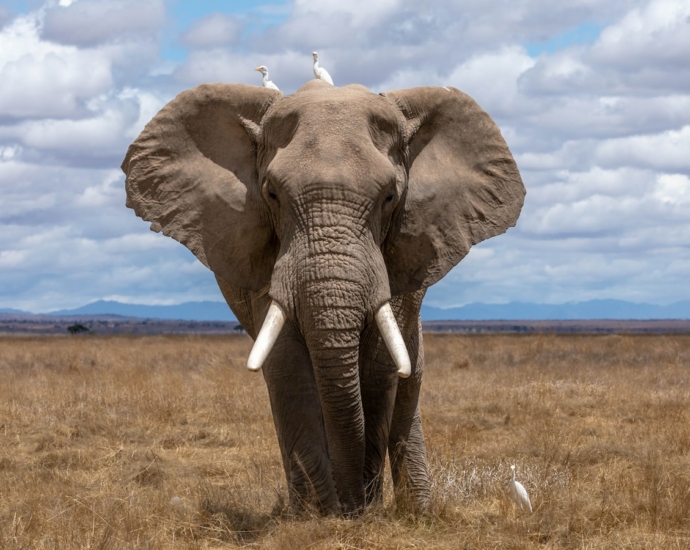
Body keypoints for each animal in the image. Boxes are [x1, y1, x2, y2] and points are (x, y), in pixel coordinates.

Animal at [121, 78, 524, 516]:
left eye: (389, 197)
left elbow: (380, 368)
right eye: (272, 194)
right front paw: (319, 516)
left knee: (408, 383)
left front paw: (362, 511)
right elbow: (288, 366)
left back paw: (417, 510)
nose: (352, 507)